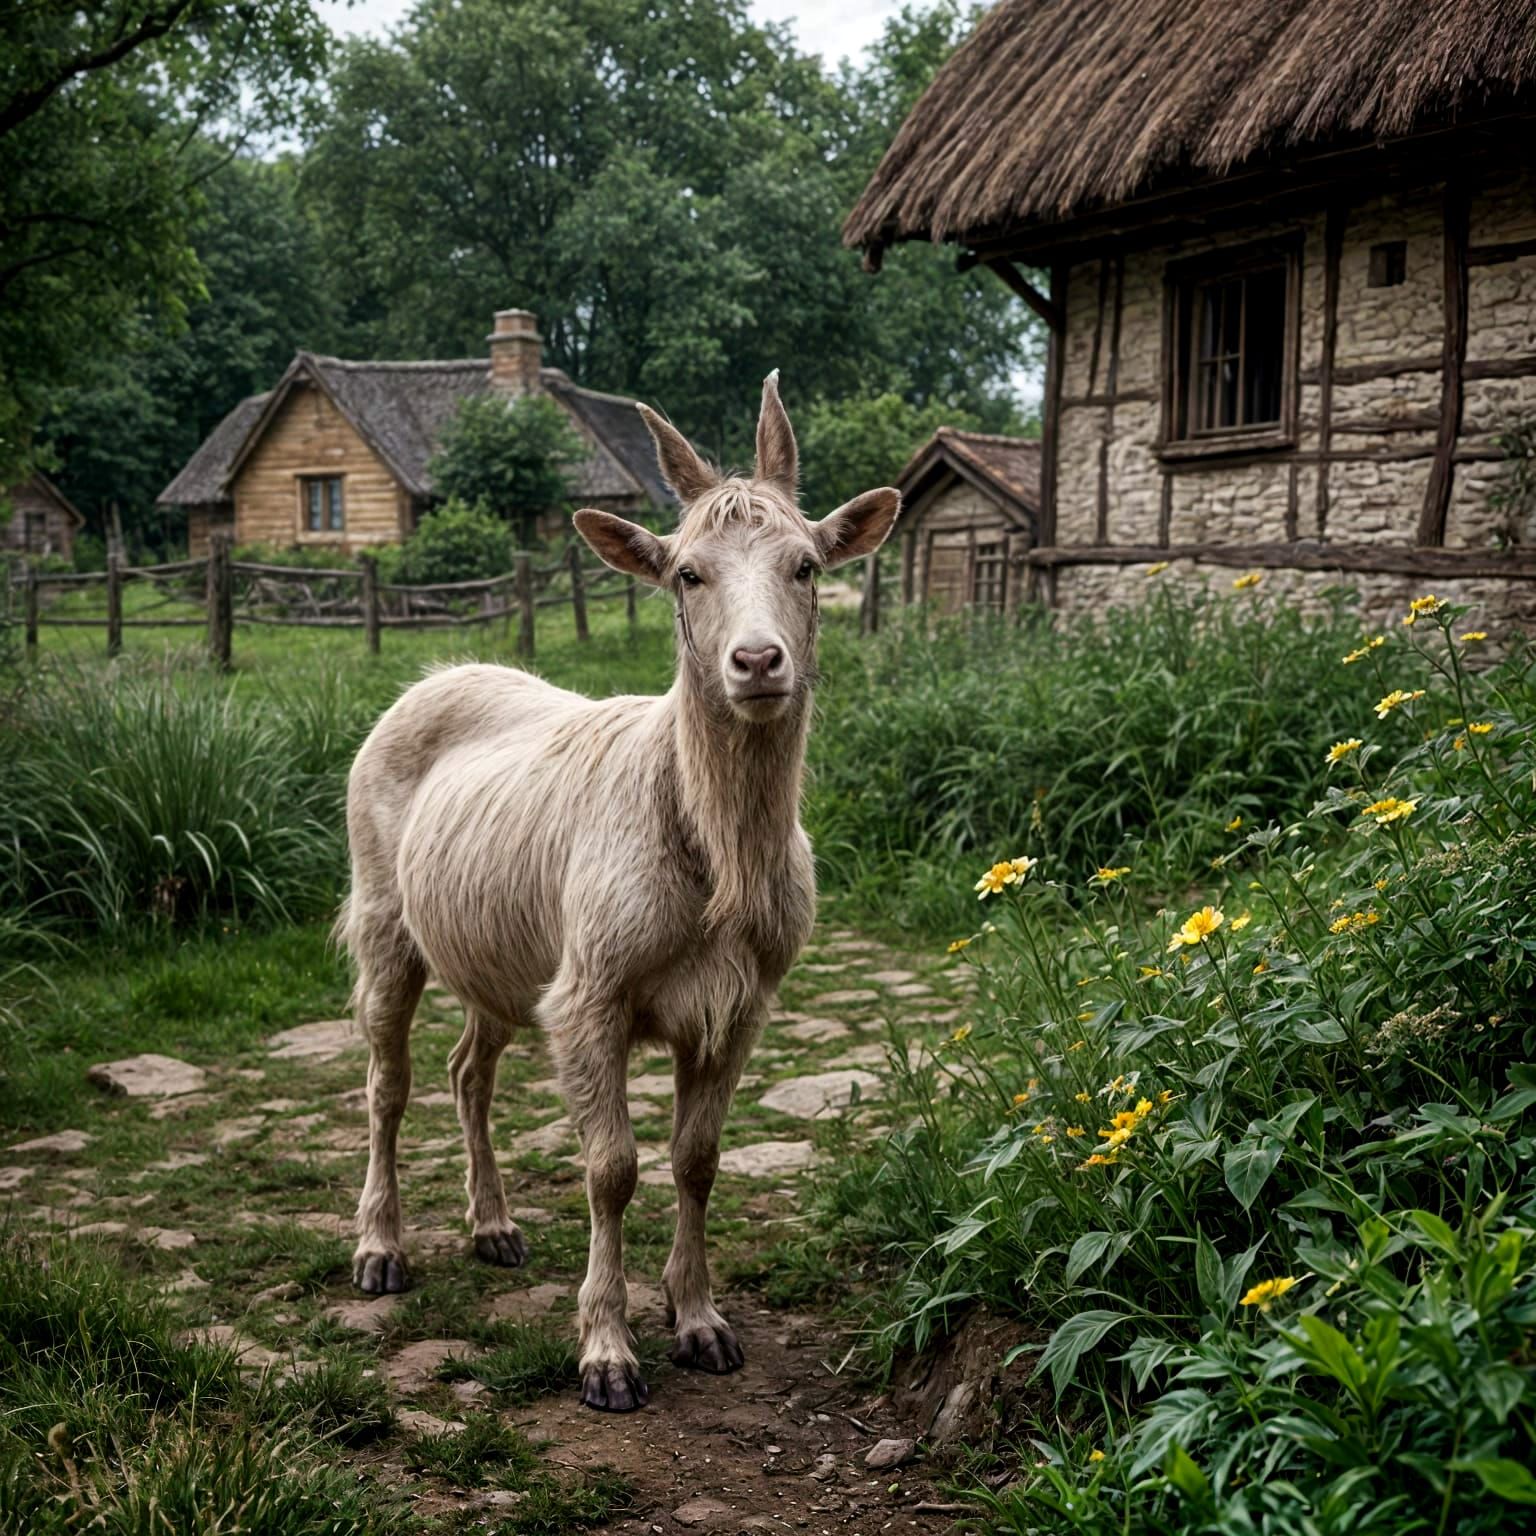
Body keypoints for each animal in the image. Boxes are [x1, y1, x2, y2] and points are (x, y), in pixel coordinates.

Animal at [339, 374, 898, 1411]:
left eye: (806, 566)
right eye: (687, 574)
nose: (757, 662)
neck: (716, 865)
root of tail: (437, 674)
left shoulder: (739, 1000)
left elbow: (697, 1159)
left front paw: (700, 1321)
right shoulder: (592, 986)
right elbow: (611, 1169)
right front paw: (606, 1352)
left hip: (500, 949)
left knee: (468, 1069)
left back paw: (494, 1227)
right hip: (383, 914)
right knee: (387, 1082)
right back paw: (379, 1248)